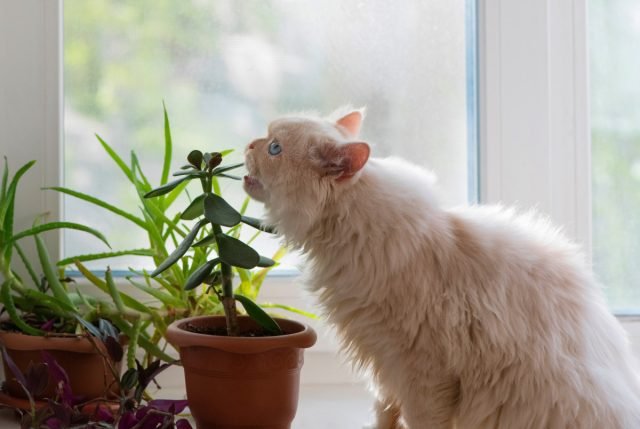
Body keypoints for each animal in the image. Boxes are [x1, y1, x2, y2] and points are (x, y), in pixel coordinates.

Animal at [242, 108, 640, 428]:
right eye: (265, 140)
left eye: (274, 148)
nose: (248, 144)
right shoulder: (386, 368)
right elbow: (383, 416)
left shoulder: (423, 374)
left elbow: (421, 422)